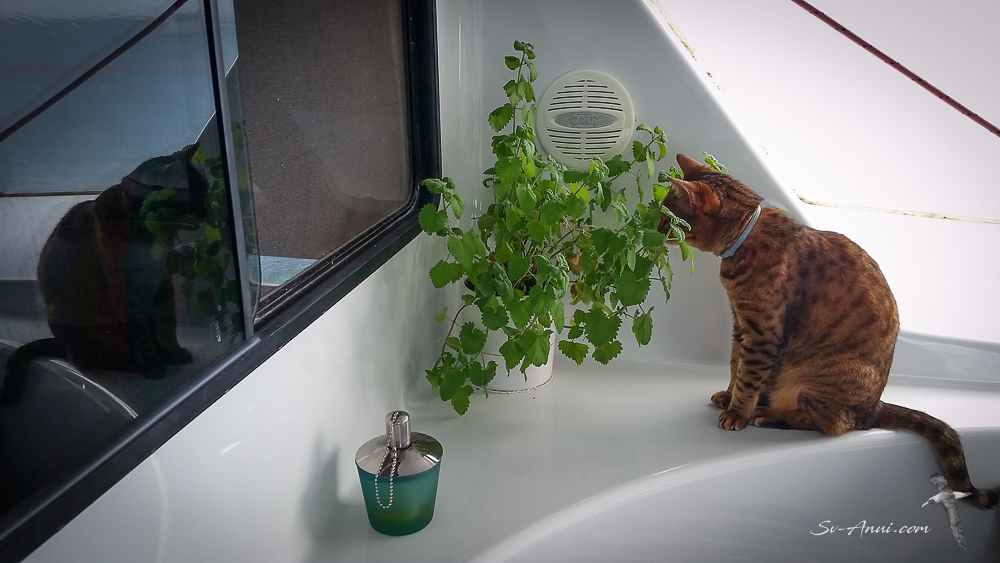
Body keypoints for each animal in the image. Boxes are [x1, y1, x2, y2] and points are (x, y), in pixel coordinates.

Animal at [2, 144, 208, 404]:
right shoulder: (127, 293)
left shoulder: (161, 283)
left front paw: (172, 352)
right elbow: (142, 335)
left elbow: (165, 325)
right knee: (87, 360)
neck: (150, 237)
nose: (209, 211)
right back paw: (130, 363)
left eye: (206, 192)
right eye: (197, 196)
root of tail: (61, 345)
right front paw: (152, 364)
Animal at [658, 153, 998, 510]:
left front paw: (738, 411)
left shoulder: (762, 332)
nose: (655, 227)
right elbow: (736, 366)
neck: (746, 236)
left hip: (816, 374)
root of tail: (874, 408)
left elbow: (748, 377)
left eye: (669, 217)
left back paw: (768, 414)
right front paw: (728, 395)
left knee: (833, 424)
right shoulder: (741, 325)